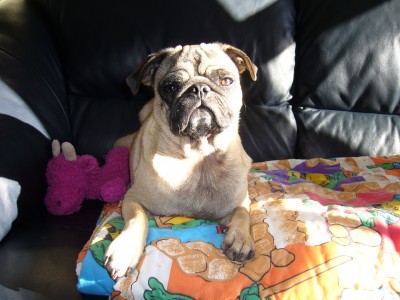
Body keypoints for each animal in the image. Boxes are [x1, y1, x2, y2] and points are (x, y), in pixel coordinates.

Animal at [104, 42, 258, 278]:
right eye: (170, 87)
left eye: (226, 81)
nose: (199, 88)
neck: (199, 156)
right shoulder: (132, 198)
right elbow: (138, 218)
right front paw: (125, 250)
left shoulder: (237, 203)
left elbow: (243, 213)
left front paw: (240, 239)